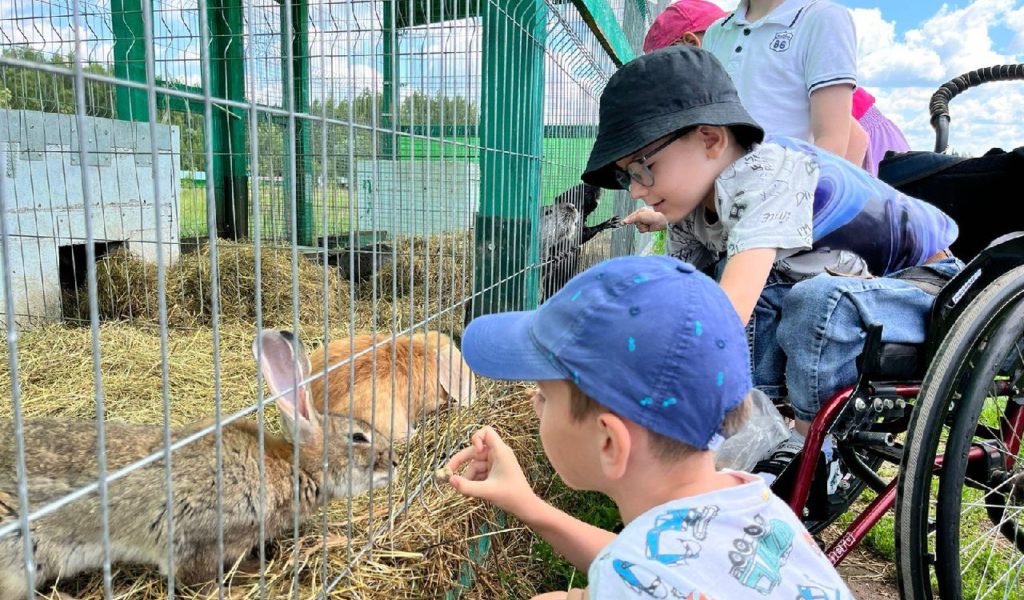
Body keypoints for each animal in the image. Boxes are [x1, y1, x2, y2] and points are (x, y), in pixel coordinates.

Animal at [0, 329, 395, 593]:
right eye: (358, 438)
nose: (393, 463)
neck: (295, 467)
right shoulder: (200, 539)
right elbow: (195, 575)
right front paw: (245, 577)